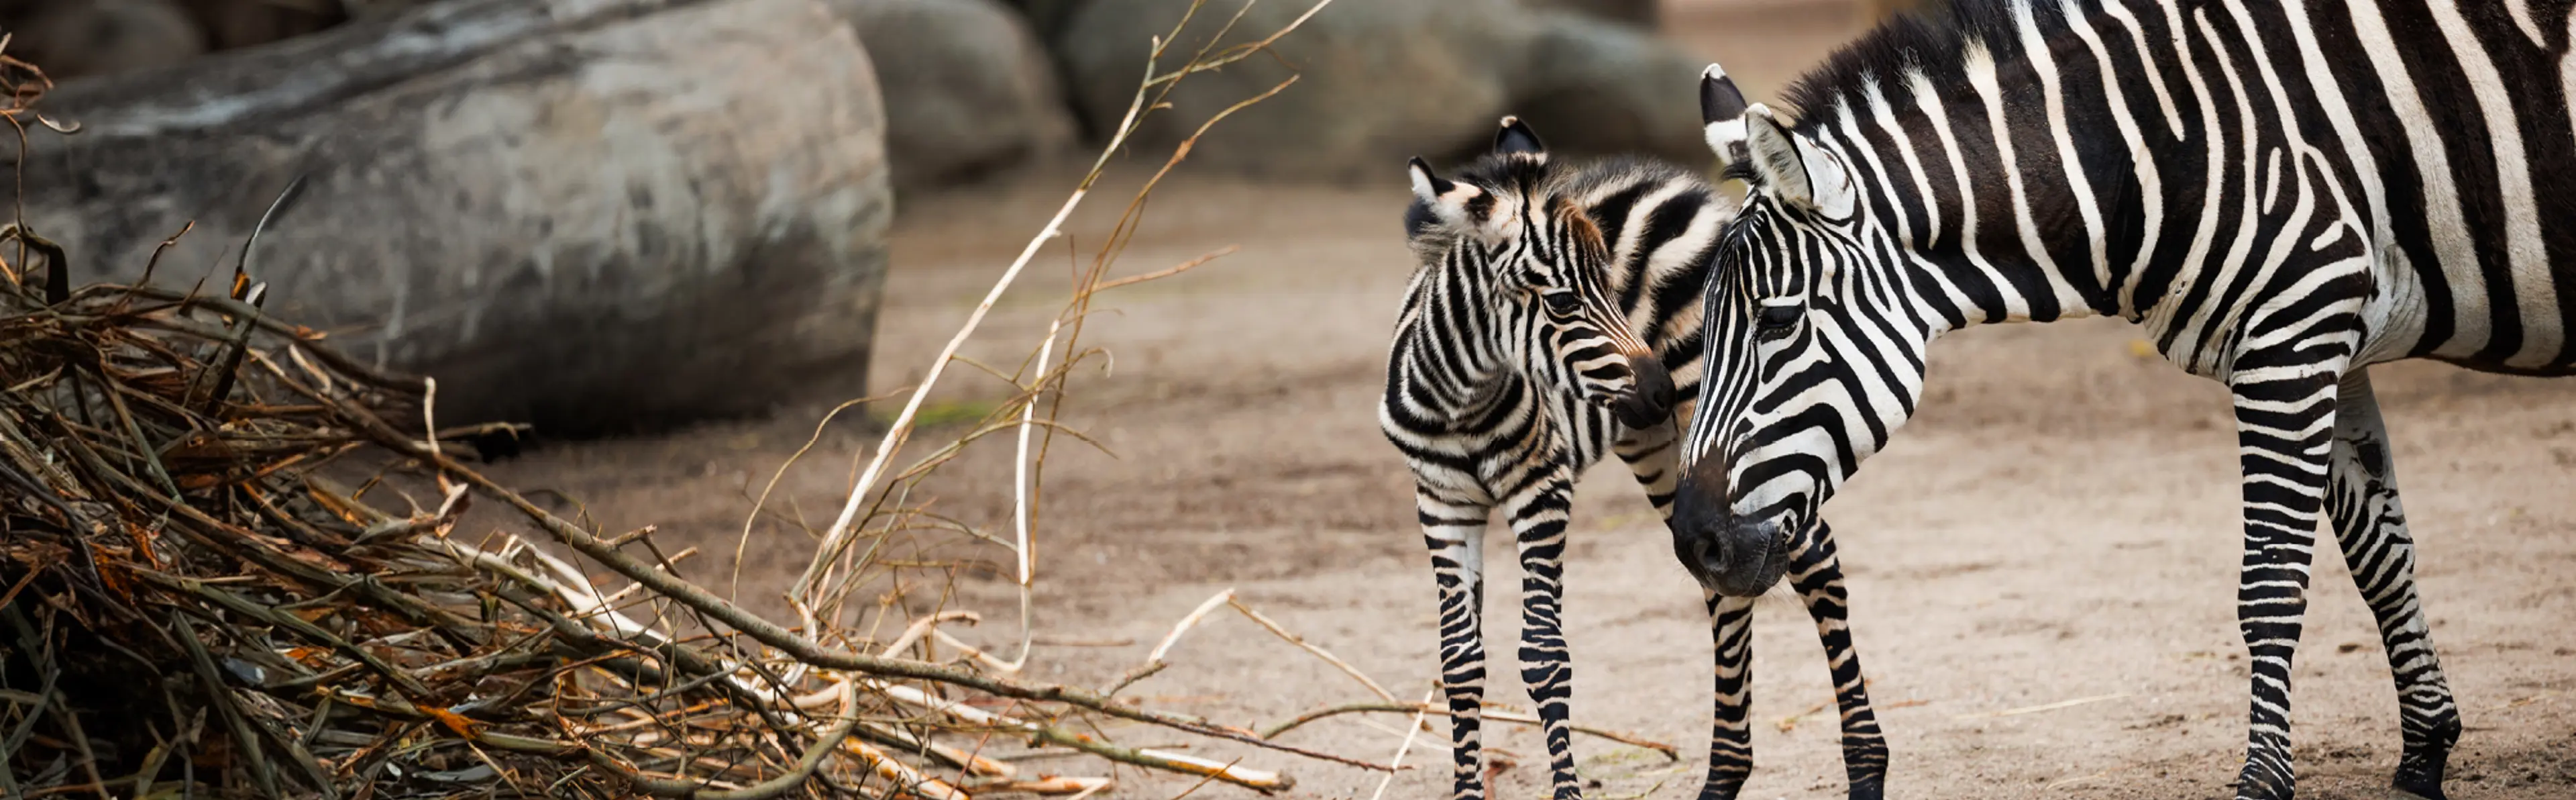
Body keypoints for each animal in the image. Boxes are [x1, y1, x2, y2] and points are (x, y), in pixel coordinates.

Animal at [1391, 118, 1896, 800]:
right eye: (1560, 304)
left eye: (1610, 286)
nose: (1652, 387)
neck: (1459, 400)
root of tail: (1678, 188)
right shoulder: (1442, 501)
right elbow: (1461, 662)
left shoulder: (1541, 489)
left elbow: (1545, 656)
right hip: (1659, 450)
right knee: (1722, 580)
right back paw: (1727, 770)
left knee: (1812, 563)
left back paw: (1865, 764)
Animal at [1669, 0, 2576, 795]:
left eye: (1777, 320)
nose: (1693, 542)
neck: (2153, 151)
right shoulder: (2335, 344)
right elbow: (2382, 556)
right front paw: (2426, 751)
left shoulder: (2291, 335)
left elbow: (2271, 585)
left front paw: (2262, 781)